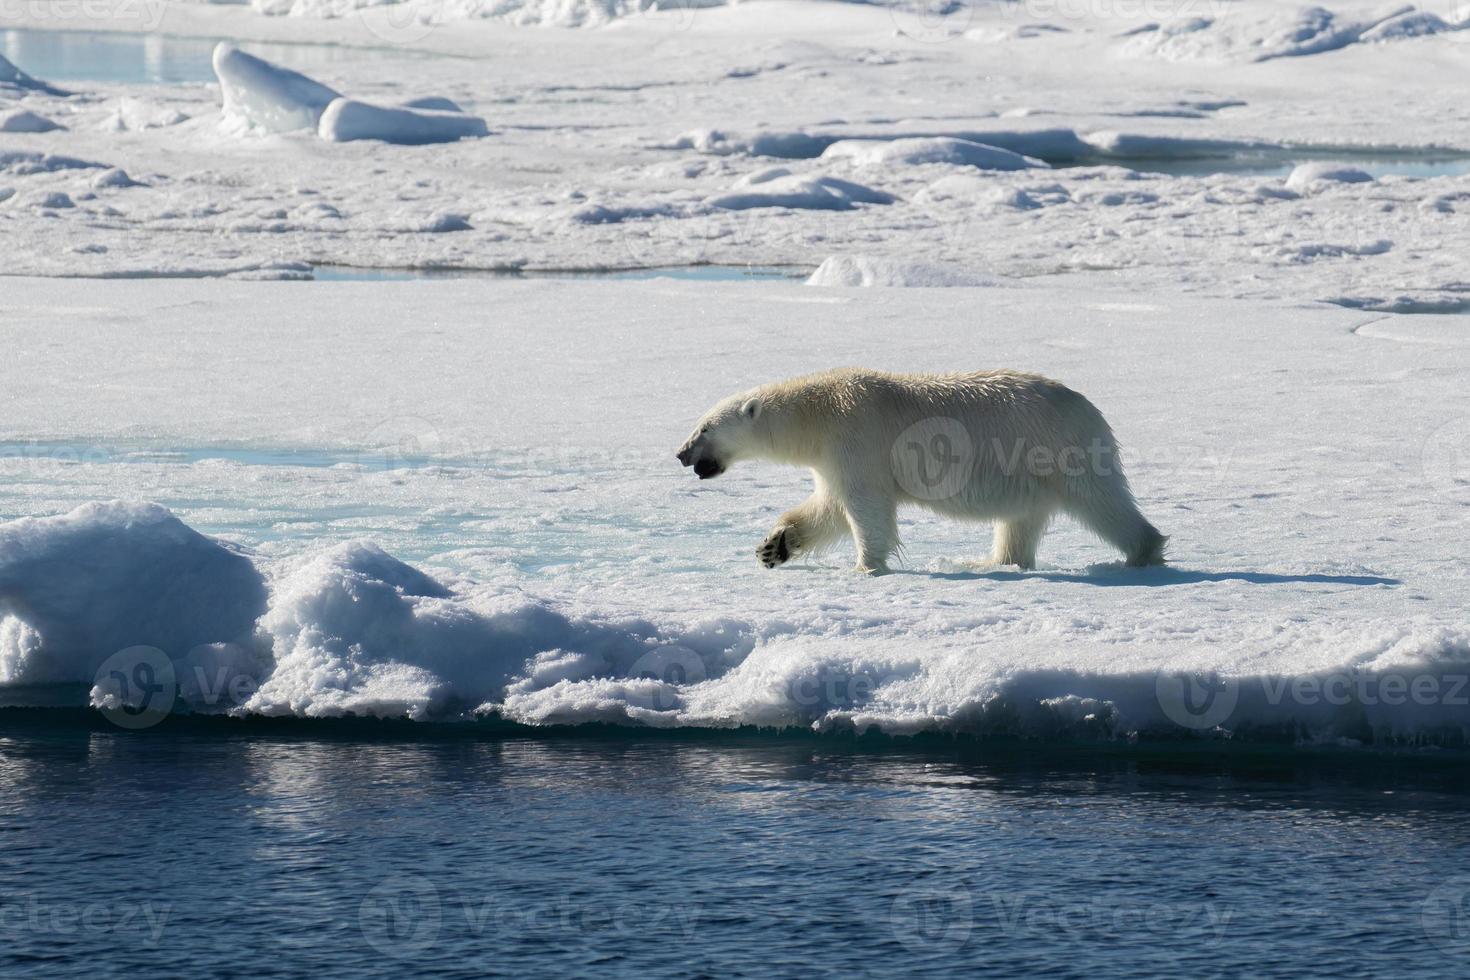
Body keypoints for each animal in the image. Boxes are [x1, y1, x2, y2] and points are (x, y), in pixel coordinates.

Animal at [673, 371, 1164, 578]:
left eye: (704, 427)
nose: (680, 453)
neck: (818, 414)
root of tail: (1089, 406)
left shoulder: (857, 438)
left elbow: (865, 508)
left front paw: (864, 567)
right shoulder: (832, 458)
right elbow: (828, 508)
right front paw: (772, 547)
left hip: (1057, 449)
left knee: (1101, 502)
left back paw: (1142, 553)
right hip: (1029, 471)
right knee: (1020, 519)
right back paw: (991, 561)